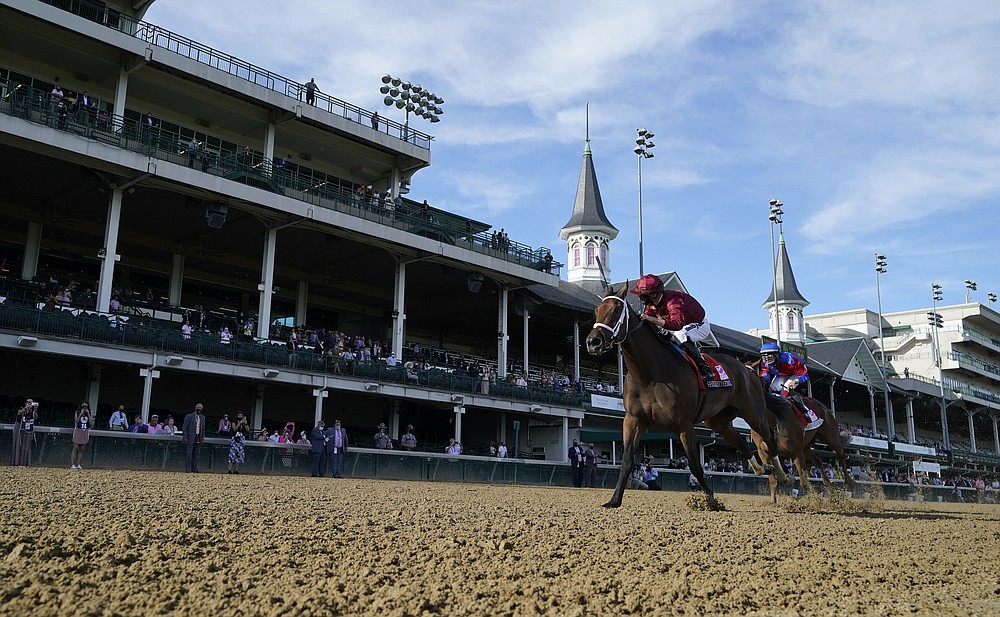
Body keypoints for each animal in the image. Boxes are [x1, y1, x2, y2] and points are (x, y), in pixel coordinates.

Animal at [584, 284, 788, 506]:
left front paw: (712, 502)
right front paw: (614, 500)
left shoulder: (685, 426)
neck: (649, 374)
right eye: (597, 311)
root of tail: (748, 369)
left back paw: (783, 474)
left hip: (753, 413)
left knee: (769, 441)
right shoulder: (633, 420)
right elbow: (627, 461)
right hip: (719, 421)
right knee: (741, 442)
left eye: (615, 310)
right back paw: (761, 468)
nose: (593, 342)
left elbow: (696, 466)